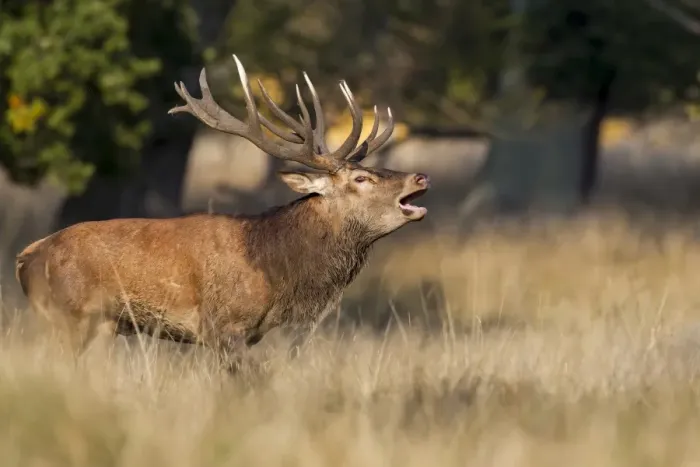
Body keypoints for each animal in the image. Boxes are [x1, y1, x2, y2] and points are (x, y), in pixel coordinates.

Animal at [14, 55, 430, 372]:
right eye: (361, 178)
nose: (420, 176)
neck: (276, 269)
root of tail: (26, 256)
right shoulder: (222, 326)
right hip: (65, 317)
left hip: (102, 327)